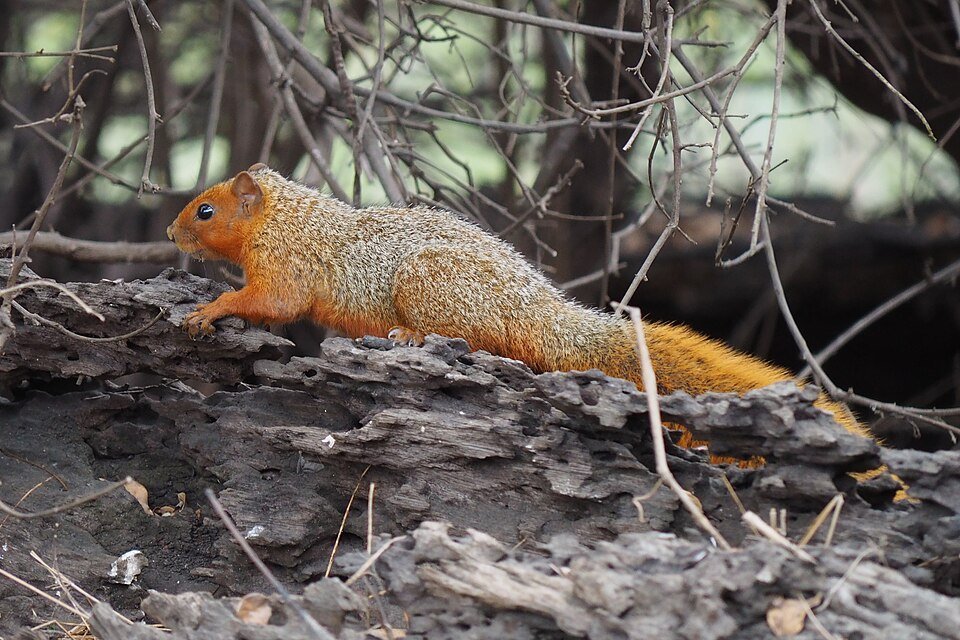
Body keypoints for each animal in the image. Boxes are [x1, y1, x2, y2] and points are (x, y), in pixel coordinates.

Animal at [167, 164, 872, 459]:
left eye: (206, 210)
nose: (171, 234)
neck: (287, 221)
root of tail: (543, 315)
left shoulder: (288, 267)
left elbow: (268, 301)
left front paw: (211, 308)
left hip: (434, 286)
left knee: (479, 338)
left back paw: (411, 336)